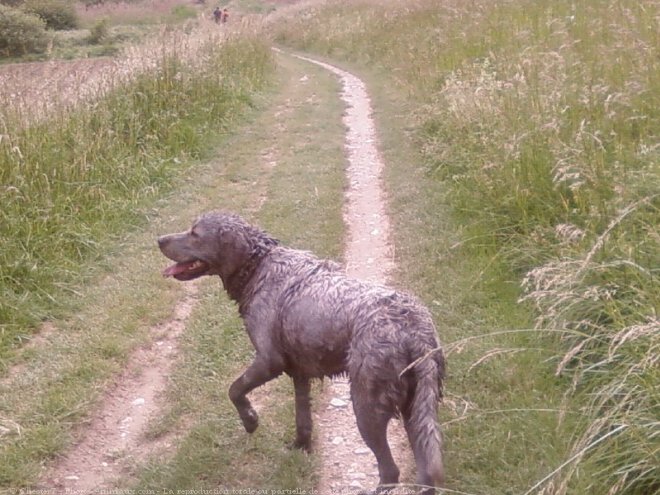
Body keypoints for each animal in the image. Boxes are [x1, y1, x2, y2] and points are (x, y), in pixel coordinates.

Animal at [158, 211, 446, 494]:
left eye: (195, 233)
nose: (160, 239)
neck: (258, 266)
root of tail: (413, 328)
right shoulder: (300, 373)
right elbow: (302, 419)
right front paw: (301, 447)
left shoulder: (268, 361)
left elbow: (234, 390)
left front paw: (250, 420)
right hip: (415, 406)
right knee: (426, 471)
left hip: (367, 405)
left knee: (391, 471)